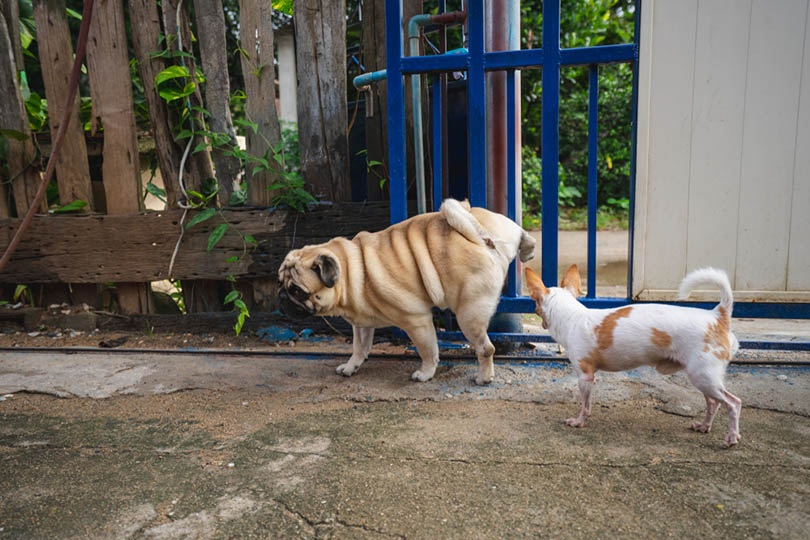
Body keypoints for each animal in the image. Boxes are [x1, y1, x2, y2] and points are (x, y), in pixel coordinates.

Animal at [274, 198, 532, 384]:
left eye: (297, 291)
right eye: (280, 283)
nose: (281, 297)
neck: (349, 269)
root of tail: (480, 239)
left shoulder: (416, 321)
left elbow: (428, 350)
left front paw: (425, 373)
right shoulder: (361, 324)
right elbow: (359, 347)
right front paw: (350, 366)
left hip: (468, 314)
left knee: (486, 348)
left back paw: (484, 377)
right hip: (499, 226)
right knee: (522, 233)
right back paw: (528, 248)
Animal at [524, 264, 740, 446]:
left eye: (534, 304)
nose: (535, 312)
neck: (572, 317)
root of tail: (718, 315)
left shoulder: (585, 377)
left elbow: (585, 405)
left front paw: (579, 421)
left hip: (704, 377)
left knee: (733, 403)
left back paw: (731, 437)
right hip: (702, 378)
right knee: (713, 403)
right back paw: (704, 426)